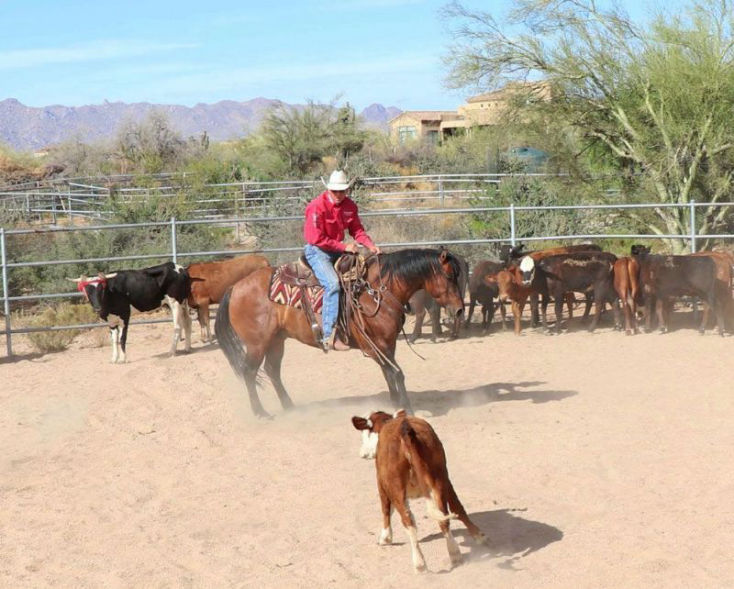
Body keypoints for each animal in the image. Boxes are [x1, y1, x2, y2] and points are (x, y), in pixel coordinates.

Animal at [214, 248, 465, 418]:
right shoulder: (375, 346)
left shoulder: (387, 344)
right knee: (249, 372)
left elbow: (389, 374)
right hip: (257, 344)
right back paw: (260, 412)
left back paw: (289, 406)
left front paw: (396, 405)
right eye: (449, 276)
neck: (377, 292)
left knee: (272, 371)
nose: (459, 310)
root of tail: (235, 287)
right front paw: (407, 409)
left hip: (276, 341)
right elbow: (397, 373)